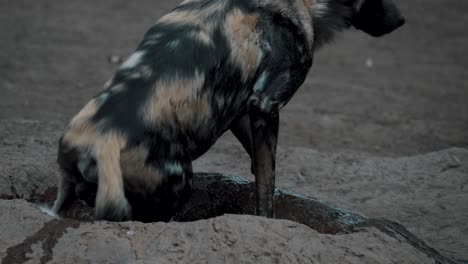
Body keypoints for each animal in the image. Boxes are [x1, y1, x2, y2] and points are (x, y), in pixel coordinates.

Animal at [49, 0, 404, 221]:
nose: (401, 19)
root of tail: (98, 143)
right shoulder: (266, 103)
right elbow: (266, 188)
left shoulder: (240, 109)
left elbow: (260, 166)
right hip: (177, 185)